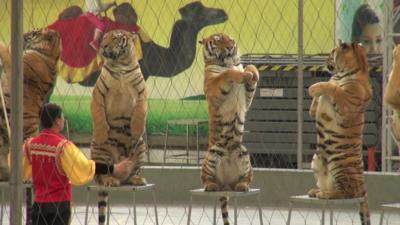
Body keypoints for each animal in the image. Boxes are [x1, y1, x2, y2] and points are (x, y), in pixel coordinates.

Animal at [90, 29, 148, 225]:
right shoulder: (98, 94)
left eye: (115, 38)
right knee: (101, 174)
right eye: (104, 37)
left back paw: (137, 179)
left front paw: (136, 129)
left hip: (141, 148)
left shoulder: (142, 94)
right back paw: (110, 180)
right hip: (101, 153)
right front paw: (101, 133)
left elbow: (140, 112)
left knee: (132, 172)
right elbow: (99, 115)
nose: (103, 46)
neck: (120, 64)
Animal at [199, 33, 260, 225]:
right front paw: (238, 74)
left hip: (243, 152)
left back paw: (242, 185)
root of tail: (225, 184)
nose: (231, 44)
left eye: (229, 37)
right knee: (206, 179)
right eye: (218, 39)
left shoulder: (247, 98)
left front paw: (252, 72)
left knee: (246, 179)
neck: (228, 61)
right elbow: (226, 74)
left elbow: (250, 68)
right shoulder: (213, 87)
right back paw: (211, 185)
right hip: (212, 154)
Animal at [310, 41, 372, 225]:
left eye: (332, 53)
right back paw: (317, 191)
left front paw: (316, 87)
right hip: (316, 160)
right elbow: (327, 86)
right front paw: (316, 90)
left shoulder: (346, 107)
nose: (324, 60)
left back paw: (324, 194)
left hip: (340, 167)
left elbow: (334, 88)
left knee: (347, 192)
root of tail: (363, 185)